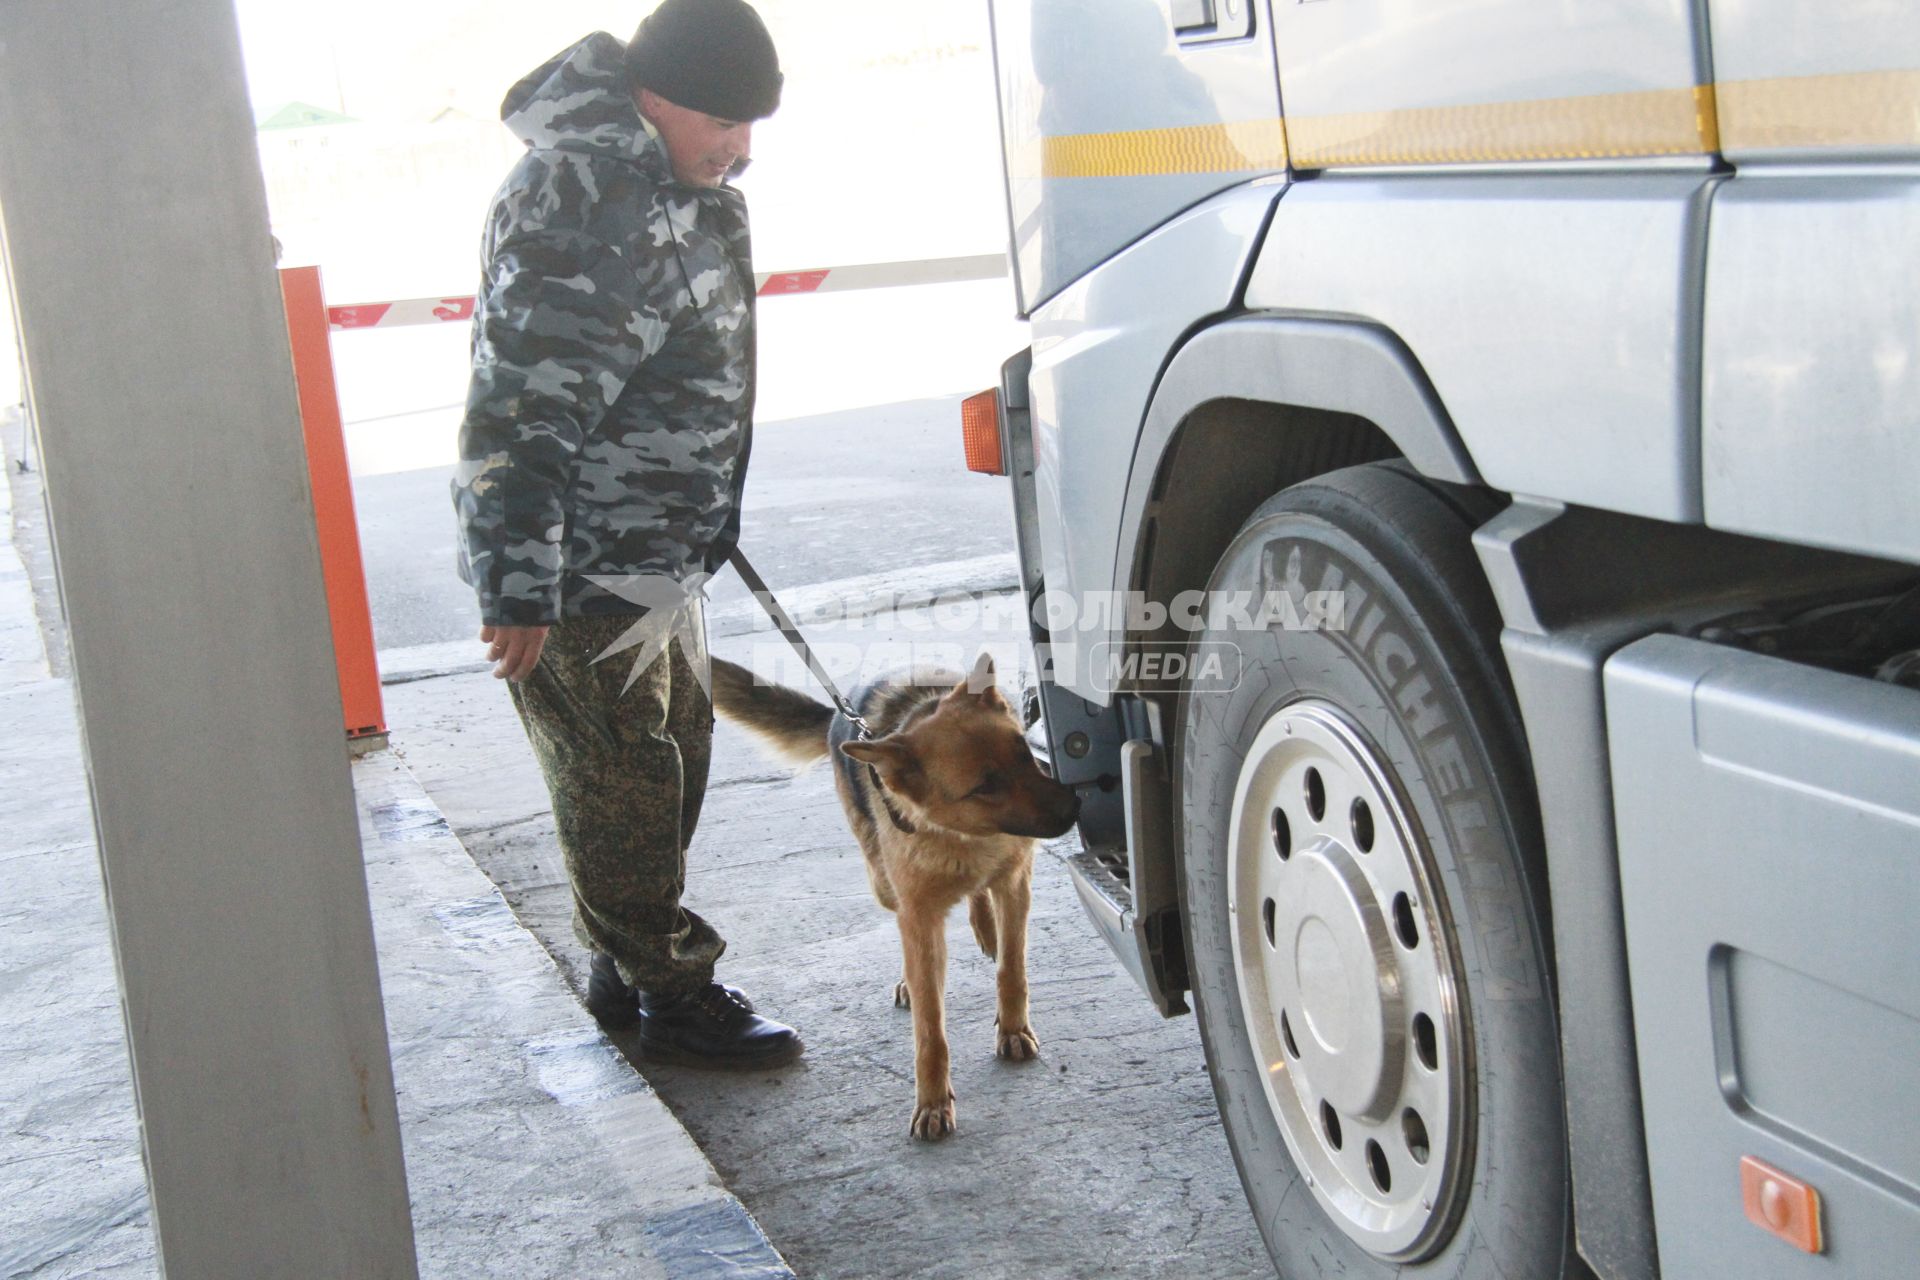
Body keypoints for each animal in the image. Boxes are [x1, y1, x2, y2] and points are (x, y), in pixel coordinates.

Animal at [718, 656, 1090, 1136]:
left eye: (1024, 753)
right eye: (984, 787)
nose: (1074, 808)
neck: (960, 837)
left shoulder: (1015, 883)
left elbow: (1012, 970)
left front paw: (1012, 1029)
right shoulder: (920, 917)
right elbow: (930, 1028)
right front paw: (933, 1102)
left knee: (981, 901)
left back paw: (984, 926)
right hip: (883, 887)